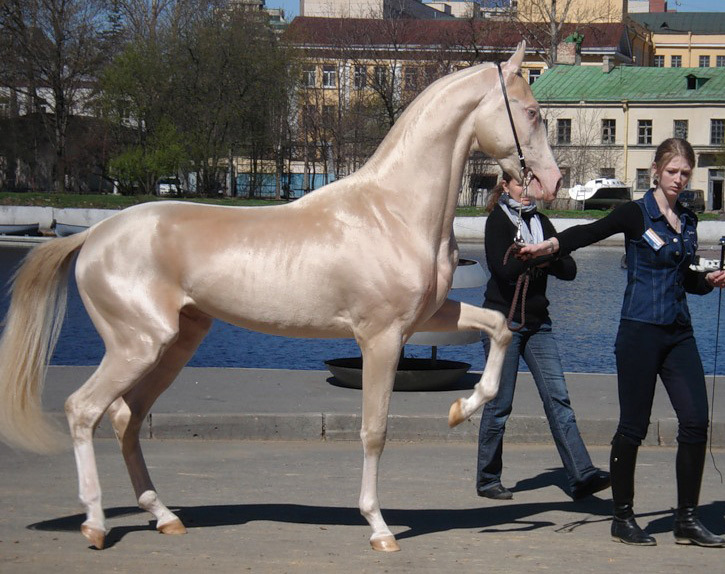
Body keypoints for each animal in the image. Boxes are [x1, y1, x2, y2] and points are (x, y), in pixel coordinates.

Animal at [0, 41, 560, 552]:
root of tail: (94, 235)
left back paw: (165, 517)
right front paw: (378, 527)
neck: (394, 211)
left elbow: (500, 328)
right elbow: (374, 430)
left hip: (173, 345)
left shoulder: (426, 318)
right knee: (83, 410)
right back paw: (95, 525)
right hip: (137, 345)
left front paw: (461, 408)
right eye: (532, 112)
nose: (551, 183)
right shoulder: (381, 338)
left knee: (126, 417)